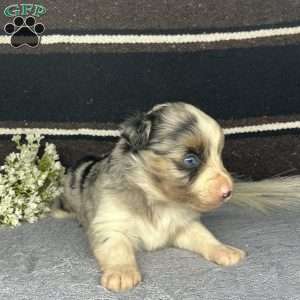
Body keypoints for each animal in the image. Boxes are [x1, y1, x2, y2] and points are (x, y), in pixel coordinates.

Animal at [59, 102, 246, 292]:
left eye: (219, 155)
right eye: (190, 160)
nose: (228, 192)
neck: (157, 200)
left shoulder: (184, 225)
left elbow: (204, 235)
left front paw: (223, 249)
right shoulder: (110, 224)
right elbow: (117, 246)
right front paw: (122, 272)